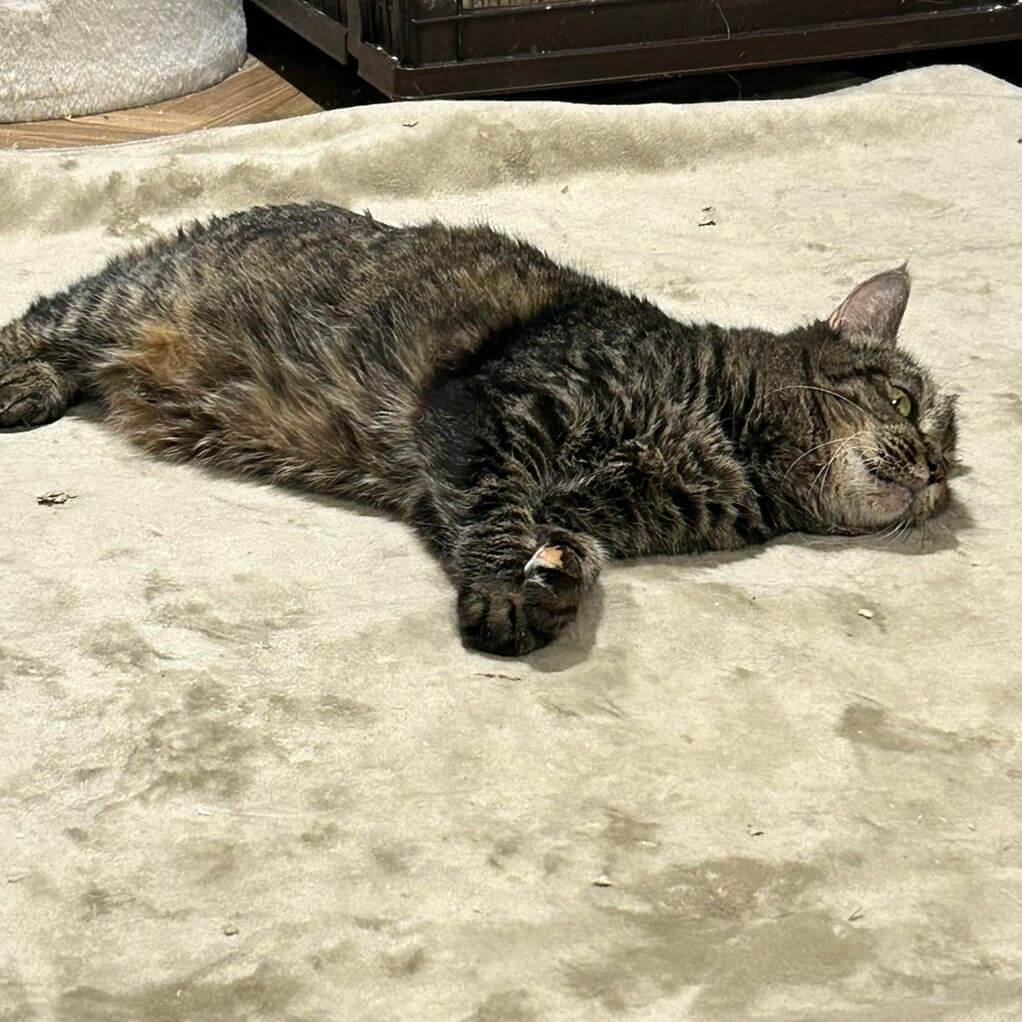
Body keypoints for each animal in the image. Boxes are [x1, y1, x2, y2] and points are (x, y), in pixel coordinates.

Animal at [0, 202, 957, 656]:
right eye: (905, 405)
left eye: (954, 467)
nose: (934, 473)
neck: (730, 453)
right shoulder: (494, 411)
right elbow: (495, 516)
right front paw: (504, 594)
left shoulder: (560, 503)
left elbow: (556, 542)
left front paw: (553, 584)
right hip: (121, 299)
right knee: (42, 316)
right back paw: (21, 383)